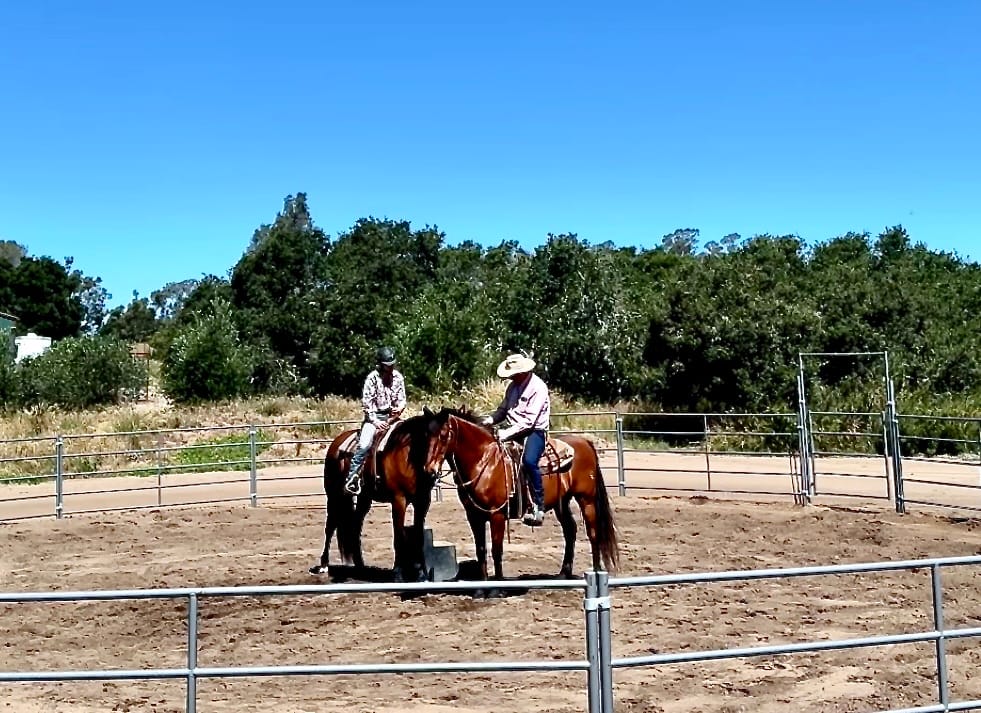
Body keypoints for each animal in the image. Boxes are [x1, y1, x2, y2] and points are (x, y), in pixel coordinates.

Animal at [309, 413, 437, 583]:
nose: (433, 472)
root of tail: (337, 442)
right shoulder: (399, 500)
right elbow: (398, 537)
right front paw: (398, 573)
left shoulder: (423, 501)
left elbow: (418, 537)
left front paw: (422, 574)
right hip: (334, 495)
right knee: (330, 527)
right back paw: (324, 565)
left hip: (363, 498)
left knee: (355, 526)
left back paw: (360, 565)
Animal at [421, 406, 619, 581]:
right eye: (426, 435)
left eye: (443, 435)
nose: (429, 469)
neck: (483, 461)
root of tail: (585, 443)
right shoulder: (474, 515)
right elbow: (481, 550)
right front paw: (482, 586)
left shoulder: (497, 514)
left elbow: (497, 549)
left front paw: (497, 587)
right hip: (561, 502)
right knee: (570, 530)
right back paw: (564, 572)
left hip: (586, 499)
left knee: (593, 533)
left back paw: (595, 572)